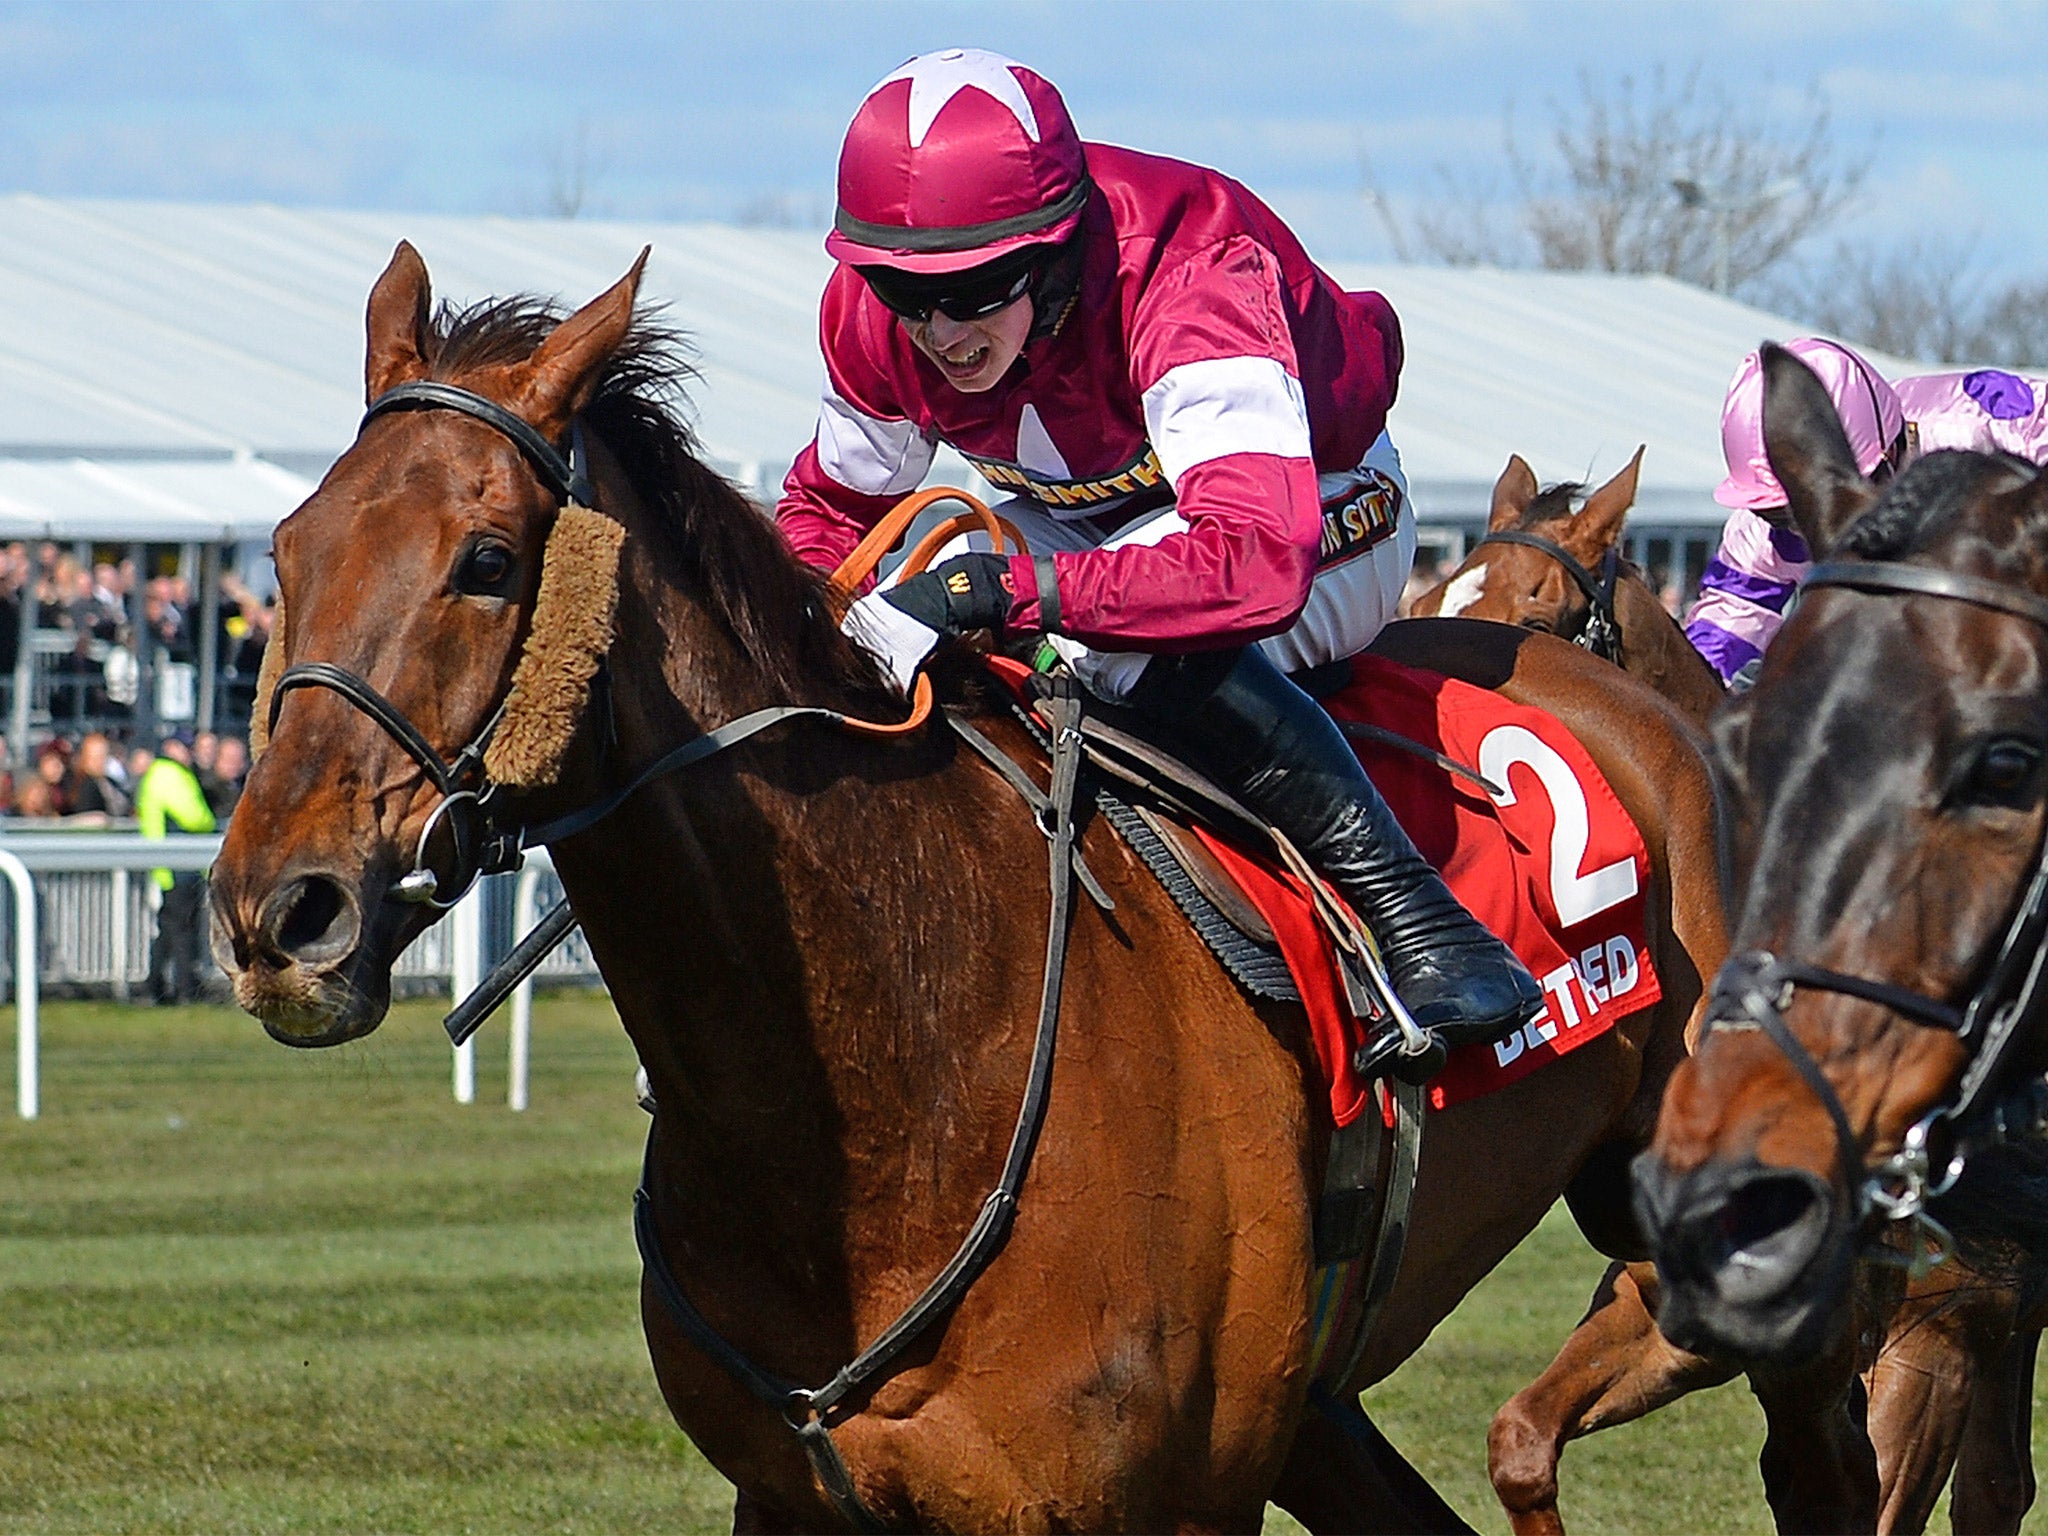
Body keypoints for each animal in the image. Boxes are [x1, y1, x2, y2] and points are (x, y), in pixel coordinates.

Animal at [216, 246, 1736, 1531]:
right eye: (285, 551)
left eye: (485, 564)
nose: (277, 913)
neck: (905, 1059)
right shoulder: (797, 1496)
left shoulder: (1164, 1501)